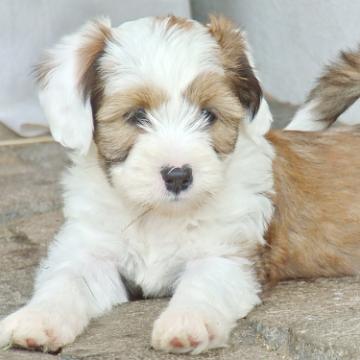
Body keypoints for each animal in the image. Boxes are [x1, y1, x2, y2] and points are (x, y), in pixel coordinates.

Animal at [0, 14, 360, 354]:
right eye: (136, 115)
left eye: (209, 114)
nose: (177, 175)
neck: (156, 214)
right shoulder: (91, 249)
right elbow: (66, 279)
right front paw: (37, 319)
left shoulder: (227, 254)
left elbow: (202, 284)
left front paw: (186, 323)